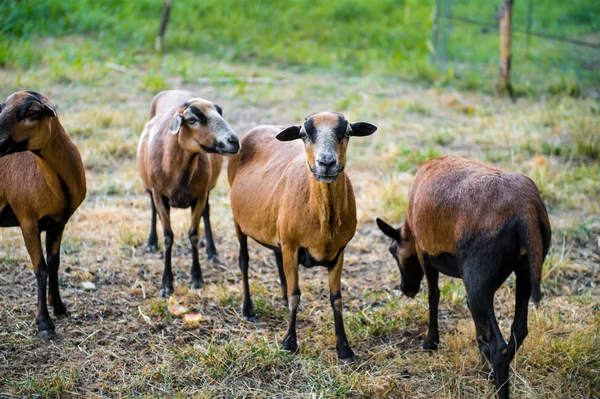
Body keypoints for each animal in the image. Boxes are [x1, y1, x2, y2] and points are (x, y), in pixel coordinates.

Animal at [0, 91, 86, 340]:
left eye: (33, 113)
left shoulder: (58, 222)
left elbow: (54, 263)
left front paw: (58, 307)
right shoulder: (27, 221)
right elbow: (40, 269)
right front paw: (44, 324)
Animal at [137, 90, 239, 296]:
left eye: (220, 112)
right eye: (192, 119)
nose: (234, 141)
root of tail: (173, 91)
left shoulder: (200, 195)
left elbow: (194, 234)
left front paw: (197, 279)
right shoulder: (159, 195)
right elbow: (168, 236)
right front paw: (166, 285)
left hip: (208, 188)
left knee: (207, 213)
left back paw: (211, 252)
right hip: (148, 185)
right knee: (152, 208)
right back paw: (151, 242)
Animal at [227, 111, 378, 362]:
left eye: (348, 132)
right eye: (304, 134)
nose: (326, 163)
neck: (323, 221)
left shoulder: (339, 251)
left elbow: (336, 299)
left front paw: (345, 350)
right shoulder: (292, 245)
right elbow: (295, 295)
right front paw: (289, 343)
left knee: (277, 258)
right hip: (239, 222)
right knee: (244, 261)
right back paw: (248, 310)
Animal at [378, 155, 552, 398]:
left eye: (392, 251)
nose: (407, 289)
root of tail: (525, 210)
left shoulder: (424, 254)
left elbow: (433, 295)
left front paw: (431, 342)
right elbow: (478, 325)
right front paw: (482, 358)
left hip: (478, 279)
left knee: (499, 346)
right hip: (523, 270)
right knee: (519, 329)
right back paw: (492, 374)